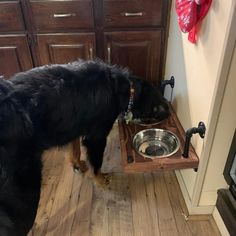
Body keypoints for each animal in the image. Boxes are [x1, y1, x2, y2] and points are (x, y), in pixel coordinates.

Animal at [0, 60, 170, 235]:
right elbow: (96, 163)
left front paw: (77, 165)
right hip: (25, 192)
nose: (168, 114)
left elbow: (74, 150)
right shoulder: (97, 137)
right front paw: (100, 180)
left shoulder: (76, 126)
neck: (125, 88)